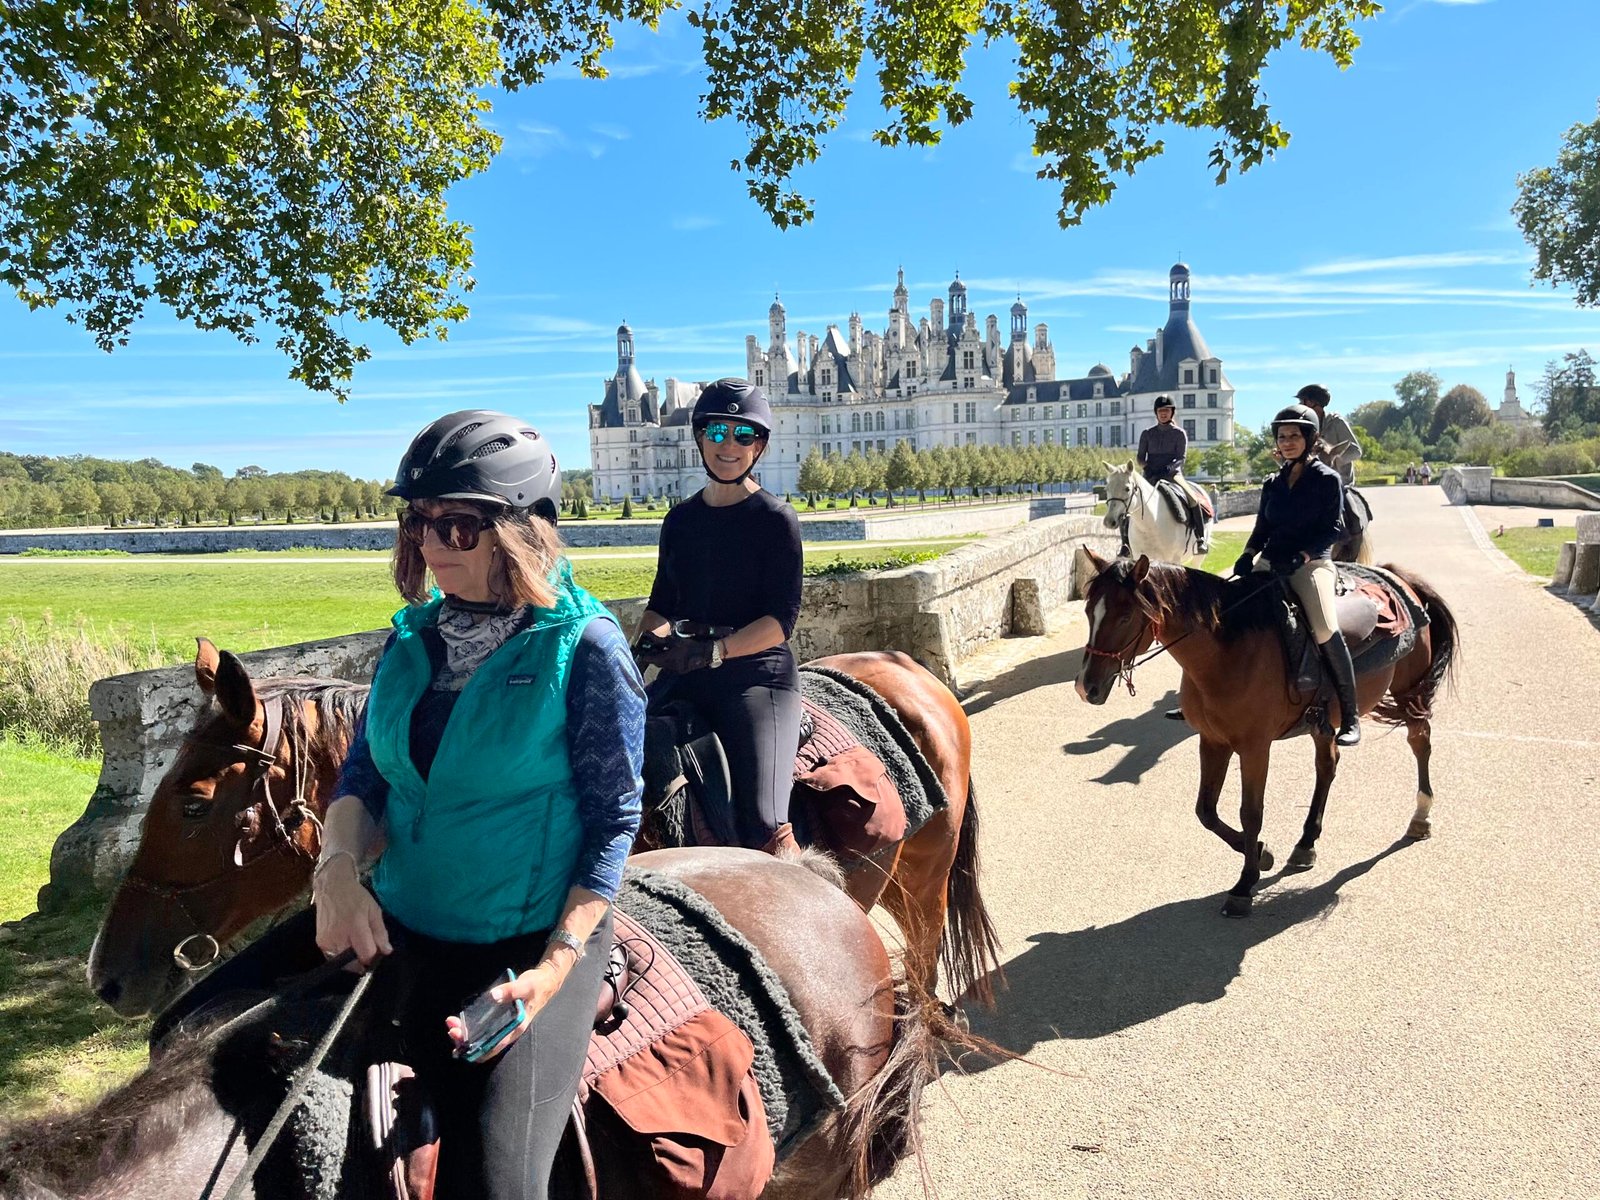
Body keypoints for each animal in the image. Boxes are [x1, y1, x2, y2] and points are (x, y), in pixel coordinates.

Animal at [1075, 553, 1465, 921]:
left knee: (1420, 741)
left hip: (1408, 691)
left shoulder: (1254, 748)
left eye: (1125, 616)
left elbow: (1251, 812)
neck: (1227, 651)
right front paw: (1261, 854)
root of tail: (1392, 574)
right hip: (1326, 720)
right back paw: (1306, 843)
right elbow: (1206, 811)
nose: (1086, 687)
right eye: (1089, 611)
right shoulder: (1212, 741)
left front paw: (1245, 884)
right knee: (1327, 766)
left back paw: (1420, 816)